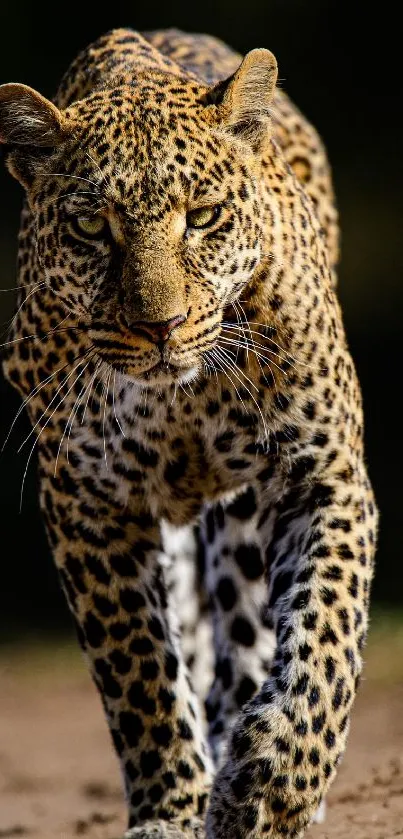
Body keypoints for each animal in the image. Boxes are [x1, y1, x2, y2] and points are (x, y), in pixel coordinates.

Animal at [0, 26, 378, 839]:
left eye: (201, 217)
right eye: (90, 226)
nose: (160, 326)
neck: (181, 399)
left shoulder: (322, 474)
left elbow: (326, 635)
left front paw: (277, 784)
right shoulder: (87, 504)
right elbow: (139, 670)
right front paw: (170, 810)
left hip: (241, 523)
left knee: (248, 637)